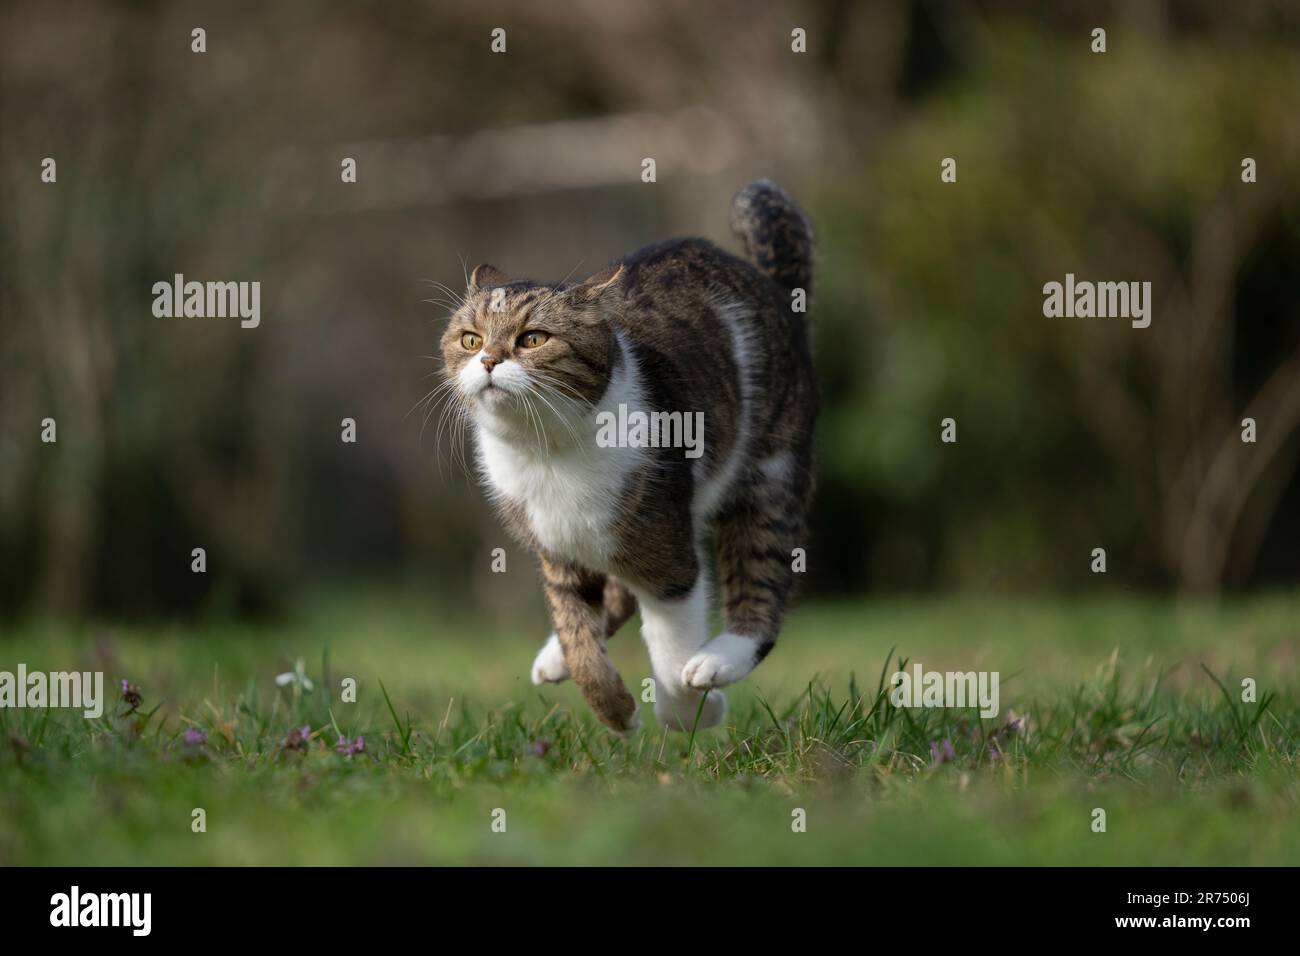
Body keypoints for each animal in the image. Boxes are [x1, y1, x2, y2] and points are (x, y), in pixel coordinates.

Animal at [441, 179, 816, 733]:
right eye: (470, 339)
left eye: (533, 339)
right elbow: (580, 638)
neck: (547, 451)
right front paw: (615, 710)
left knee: (761, 573)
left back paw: (719, 660)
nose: (488, 359)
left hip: (769, 469)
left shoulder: (667, 553)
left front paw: (688, 712)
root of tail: (772, 287)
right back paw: (553, 657)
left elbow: (669, 644)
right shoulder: (558, 552)